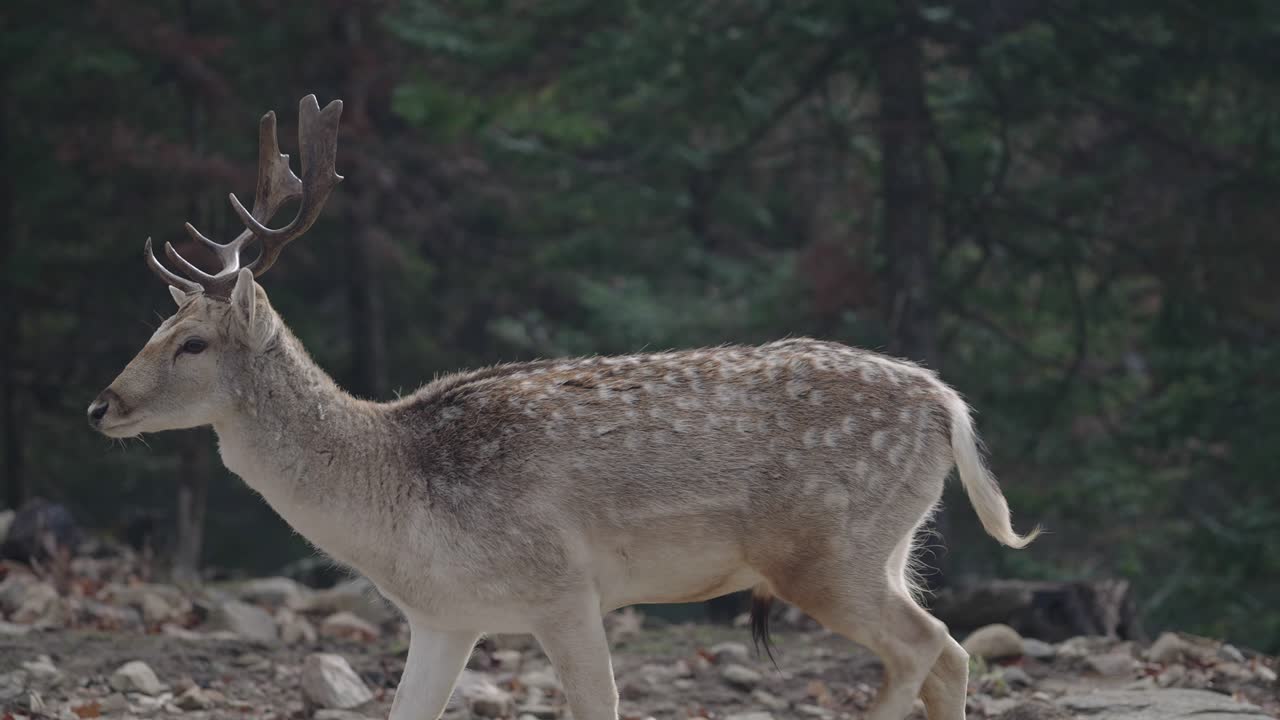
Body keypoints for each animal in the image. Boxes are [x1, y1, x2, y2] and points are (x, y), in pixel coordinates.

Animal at [88, 95, 1039, 720]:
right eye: (156, 324)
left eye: (191, 343)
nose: (102, 405)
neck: (397, 509)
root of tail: (947, 401)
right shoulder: (445, 617)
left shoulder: (562, 586)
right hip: (889, 547)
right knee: (949, 653)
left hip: (828, 550)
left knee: (929, 648)